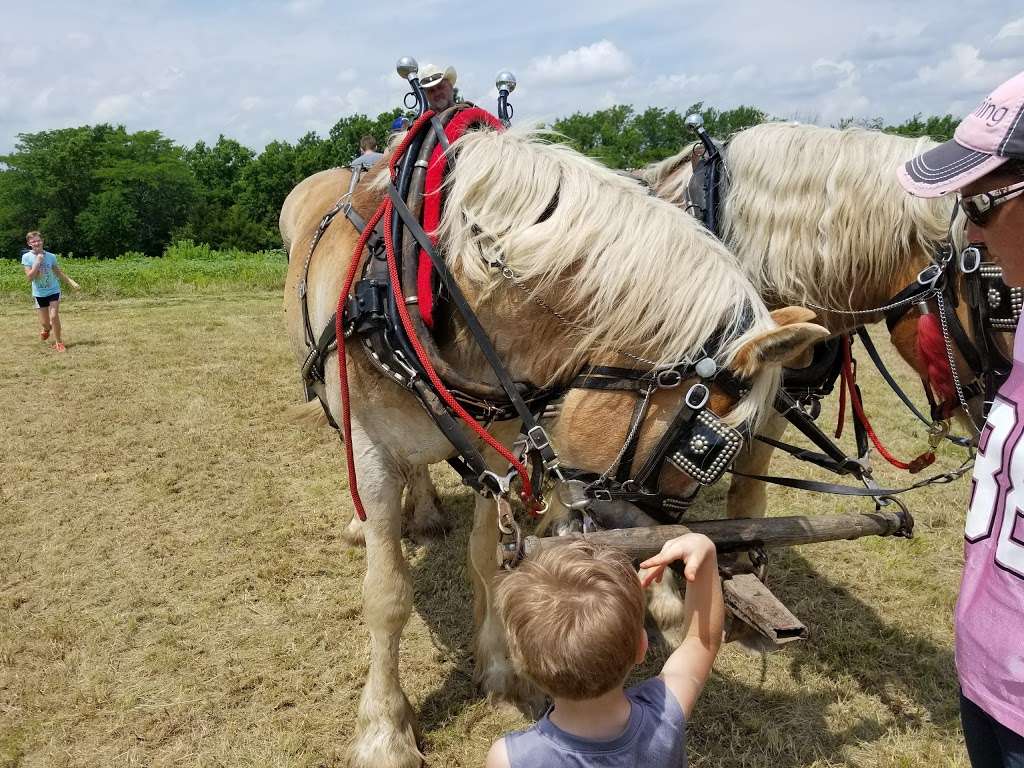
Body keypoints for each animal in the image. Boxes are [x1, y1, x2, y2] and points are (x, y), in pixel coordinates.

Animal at [280, 121, 823, 768]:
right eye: (699, 453)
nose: (660, 553)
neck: (429, 286)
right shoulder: (371, 448)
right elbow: (387, 595)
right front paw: (385, 732)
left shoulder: (497, 445)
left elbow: (488, 560)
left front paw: (498, 670)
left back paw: (429, 511)